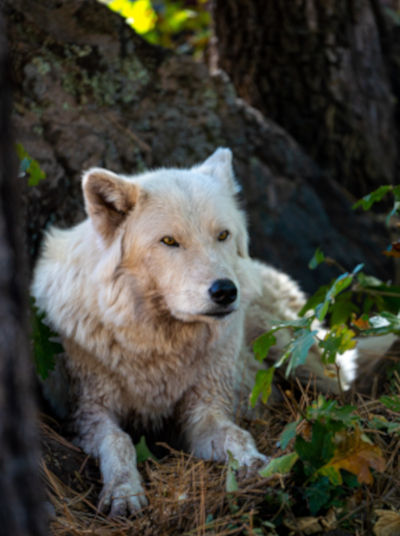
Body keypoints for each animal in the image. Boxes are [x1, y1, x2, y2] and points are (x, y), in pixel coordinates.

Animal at [32, 149, 394, 516]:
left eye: (222, 235)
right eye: (169, 241)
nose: (225, 292)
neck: (159, 344)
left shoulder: (204, 411)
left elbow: (238, 435)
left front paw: (255, 465)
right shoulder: (88, 414)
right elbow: (119, 440)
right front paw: (123, 491)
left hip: (296, 353)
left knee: (342, 378)